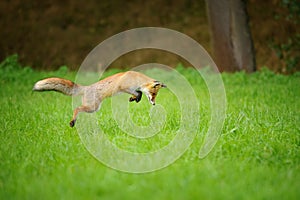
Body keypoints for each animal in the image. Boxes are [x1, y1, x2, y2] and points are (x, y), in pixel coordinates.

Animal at [34, 71, 169, 127]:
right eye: (153, 93)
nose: (154, 103)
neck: (137, 79)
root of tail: (86, 87)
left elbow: (138, 94)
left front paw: (133, 99)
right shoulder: (123, 87)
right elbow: (139, 93)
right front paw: (135, 98)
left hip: (94, 108)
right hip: (92, 107)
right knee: (77, 108)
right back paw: (72, 122)